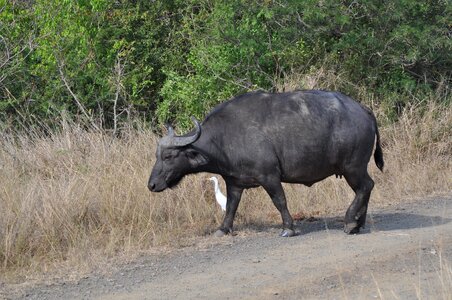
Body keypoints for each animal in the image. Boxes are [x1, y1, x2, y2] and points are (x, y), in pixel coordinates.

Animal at [150, 89, 384, 237]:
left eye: (168, 157)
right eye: (157, 155)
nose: (151, 184)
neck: (225, 137)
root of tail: (362, 109)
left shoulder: (269, 176)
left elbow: (279, 200)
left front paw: (288, 228)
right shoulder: (234, 183)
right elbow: (231, 207)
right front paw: (222, 229)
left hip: (352, 167)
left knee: (366, 186)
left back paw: (350, 222)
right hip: (353, 169)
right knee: (365, 189)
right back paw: (359, 222)